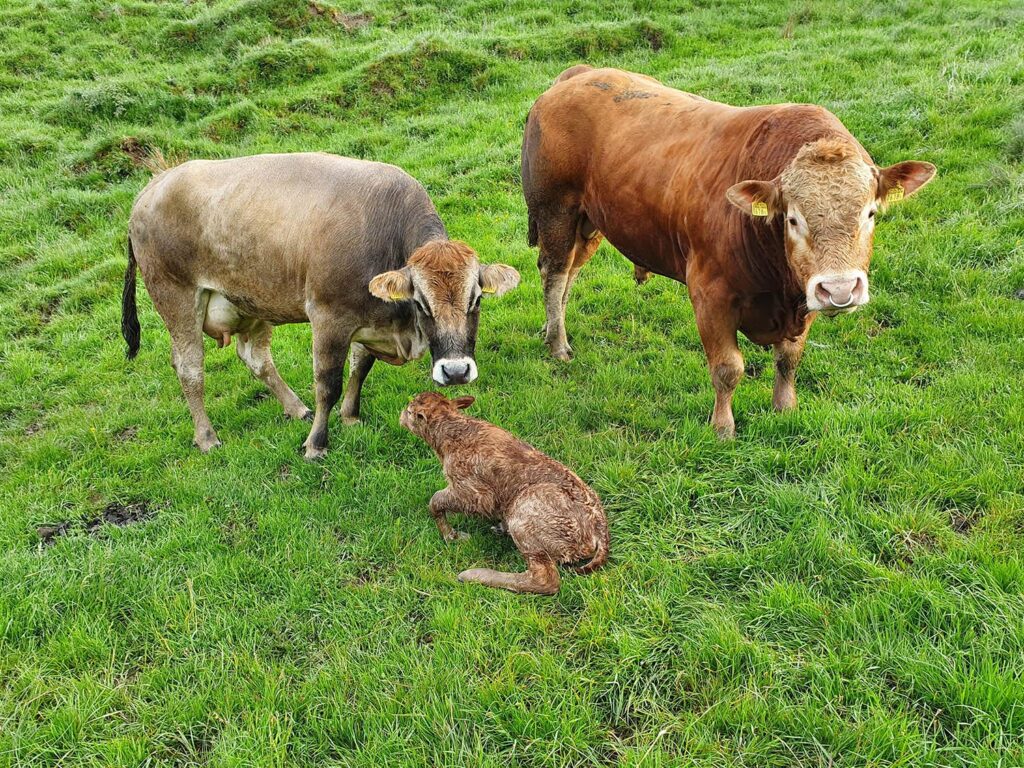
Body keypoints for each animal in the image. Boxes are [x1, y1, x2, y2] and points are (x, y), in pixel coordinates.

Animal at [120, 153, 520, 460]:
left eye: (476, 298)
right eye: (421, 303)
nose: (455, 371)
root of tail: (153, 186)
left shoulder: (368, 317)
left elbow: (361, 367)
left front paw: (350, 416)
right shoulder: (330, 317)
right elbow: (328, 382)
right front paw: (316, 443)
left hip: (251, 302)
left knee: (256, 359)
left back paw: (295, 407)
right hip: (175, 295)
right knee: (190, 368)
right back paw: (206, 437)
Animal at [399, 391, 606, 593]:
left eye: (410, 412)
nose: (401, 415)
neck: (452, 432)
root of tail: (599, 532)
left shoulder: (474, 493)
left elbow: (435, 501)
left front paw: (452, 536)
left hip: (524, 519)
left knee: (545, 579)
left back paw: (474, 574)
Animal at [524, 64, 933, 438]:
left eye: (870, 213)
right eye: (793, 219)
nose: (840, 289)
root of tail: (577, 74)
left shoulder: (803, 296)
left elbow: (789, 358)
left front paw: (785, 407)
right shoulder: (710, 295)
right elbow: (727, 368)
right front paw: (723, 427)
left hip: (590, 221)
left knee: (569, 273)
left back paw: (552, 326)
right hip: (556, 210)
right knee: (554, 273)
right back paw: (558, 343)